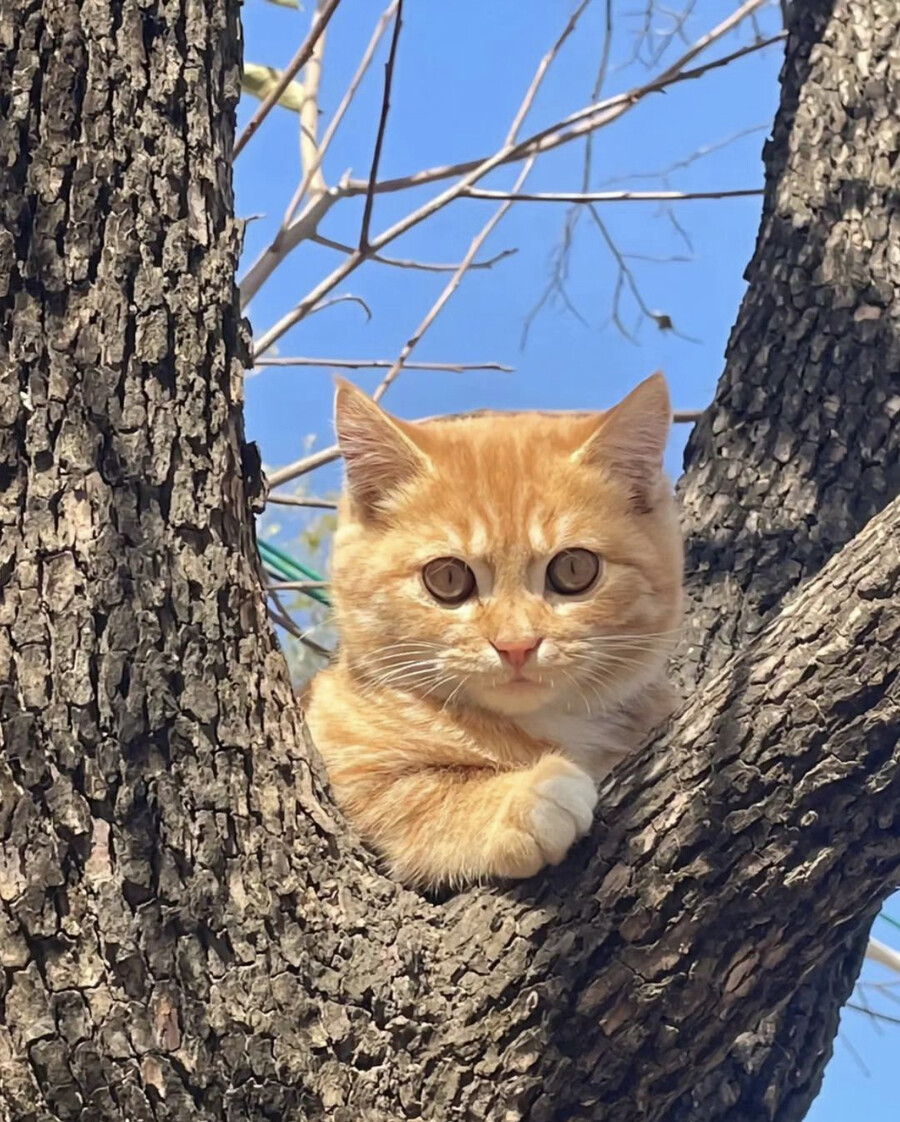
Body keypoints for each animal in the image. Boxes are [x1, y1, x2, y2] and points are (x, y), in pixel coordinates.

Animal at [305, 374, 682, 884]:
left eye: (575, 569)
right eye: (447, 578)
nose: (516, 644)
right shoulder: (340, 762)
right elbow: (416, 792)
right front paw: (528, 798)